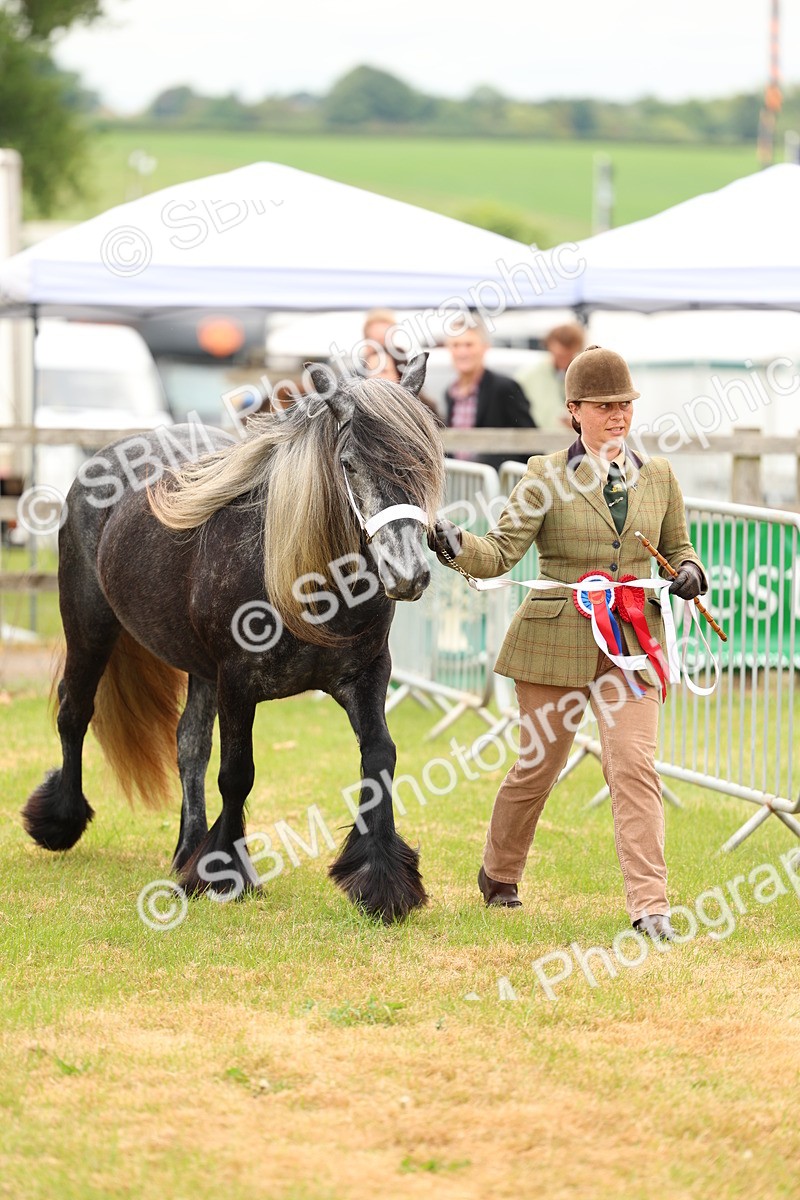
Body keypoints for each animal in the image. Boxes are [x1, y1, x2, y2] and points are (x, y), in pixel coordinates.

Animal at [22, 355, 445, 922]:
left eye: (423, 461)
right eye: (350, 464)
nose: (408, 574)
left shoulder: (366, 676)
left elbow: (379, 758)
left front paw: (381, 882)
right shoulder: (237, 683)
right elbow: (236, 774)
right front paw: (224, 873)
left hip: (197, 670)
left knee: (188, 746)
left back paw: (187, 850)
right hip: (89, 628)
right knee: (74, 713)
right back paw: (62, 823)